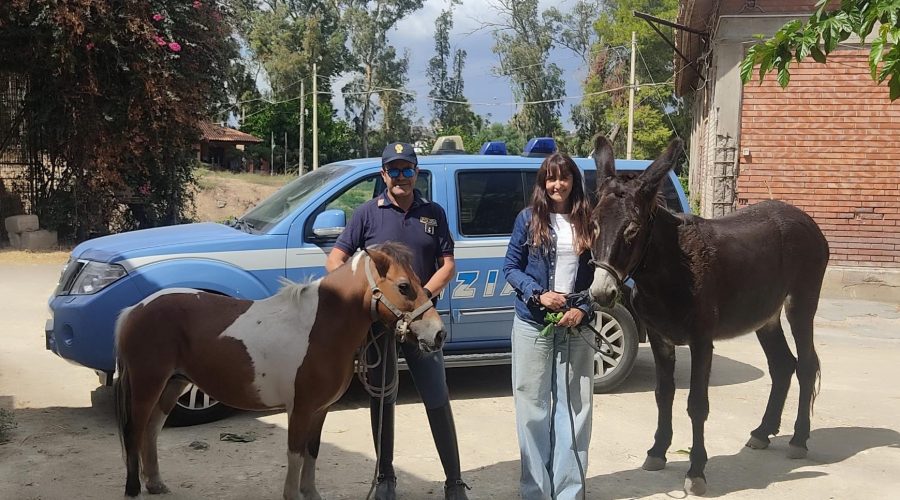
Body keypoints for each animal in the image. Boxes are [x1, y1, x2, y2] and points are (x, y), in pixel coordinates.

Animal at [114, 242, 445, 500]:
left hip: (173, 383)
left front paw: (311, 494)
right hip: (147, 384)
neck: (320, 327)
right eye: (404, 286)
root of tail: (134, 310)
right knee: (134, 431)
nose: (438, 334)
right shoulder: (299, 409)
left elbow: (312, 451)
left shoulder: (320, 410)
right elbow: (295, 453)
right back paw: (133, 490)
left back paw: (155, 483)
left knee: (152, 430)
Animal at [587, 135, 829, 495]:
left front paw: (696, 471)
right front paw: (657, 452)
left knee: (807, 365)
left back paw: (799, 439)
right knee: (783, 364)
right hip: (765, 314)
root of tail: (804, 217)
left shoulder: (702, 340)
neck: (670, 269)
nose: (601, 293)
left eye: (631, 230)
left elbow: (697, 404)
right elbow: (663, 395)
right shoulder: (660, 338)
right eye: (593, 225)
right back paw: (762, 432)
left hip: (801, 302)